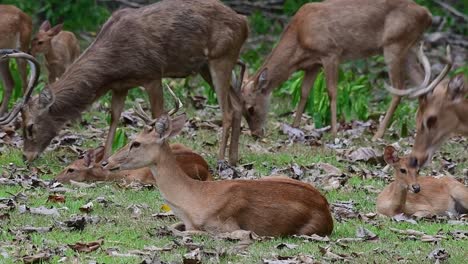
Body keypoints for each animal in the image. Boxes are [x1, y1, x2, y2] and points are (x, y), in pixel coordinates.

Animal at [0, 0, 249, 165]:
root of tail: (244, 21)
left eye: (30, 126)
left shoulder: (152, 74)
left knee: (227, 110)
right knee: (238, 104)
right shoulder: (121, 85)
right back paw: (234, 158)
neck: (113, 67)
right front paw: (104, 159)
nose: (26, 156)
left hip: (222, 57)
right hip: (205, 66)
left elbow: (158, 116)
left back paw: (220, 160)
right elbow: (114, 117)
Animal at [101, 102, 332, 236]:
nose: (106, 162)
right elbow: (172, 227)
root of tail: (326, 209)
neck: (194, 199)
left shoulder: (228, 227)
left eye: (136, 143)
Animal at [241, 0, 432, 139]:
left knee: (399, 88)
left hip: (394, 45)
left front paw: (333, 132)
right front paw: (294, 126)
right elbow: (304, 92)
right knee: (423, 82)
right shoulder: (313, 64)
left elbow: (332, 91)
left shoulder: (331, 53)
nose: (256, 134)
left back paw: (378, 134)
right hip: (408, 48)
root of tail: (427, 14)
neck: (300, 37)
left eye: (251, 108)